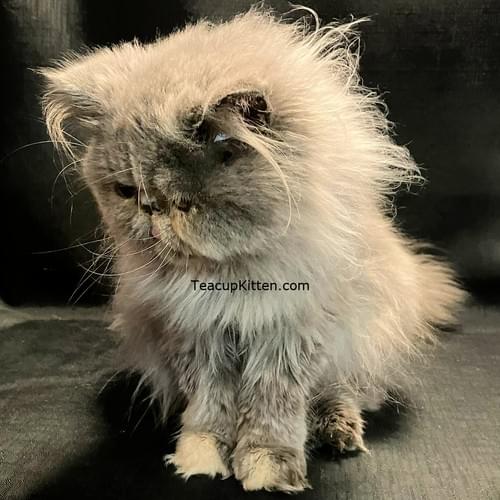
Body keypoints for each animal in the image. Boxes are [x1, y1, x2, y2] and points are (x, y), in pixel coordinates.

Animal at [41, 7, 465, 493]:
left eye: (186, 203)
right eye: (127, 192)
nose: (151, 211)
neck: (229, 279)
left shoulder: (290, 337)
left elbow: (272, 411)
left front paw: (267, 466)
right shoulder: (195, 338)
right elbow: (210, 408)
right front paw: (201, 455)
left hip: (361, 340)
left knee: (344, 391)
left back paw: (339, 431)